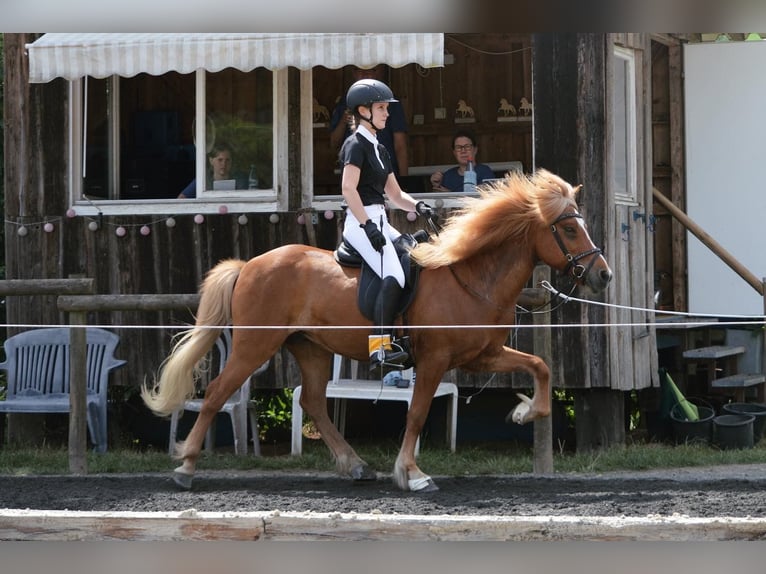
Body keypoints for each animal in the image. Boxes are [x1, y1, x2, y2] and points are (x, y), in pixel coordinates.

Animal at [142, 169, 613, 492]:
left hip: (310, 347)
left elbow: (540, 365)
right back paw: (185, 466)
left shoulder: (481, 354)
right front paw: (411, 473)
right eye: (568, 228)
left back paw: (355, 465)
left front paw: (524, 412)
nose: (603, 275)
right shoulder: (435, 359)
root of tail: (250, 264)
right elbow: (417, 413)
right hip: (254, 345)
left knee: (313, 402)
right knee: (218, 392)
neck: (470, 276)